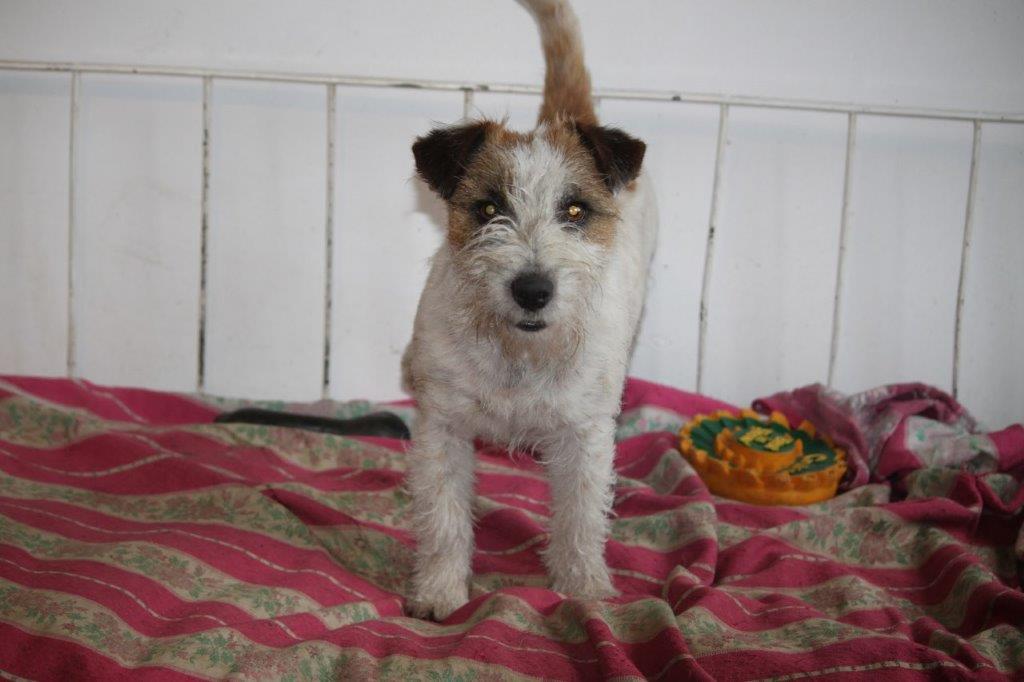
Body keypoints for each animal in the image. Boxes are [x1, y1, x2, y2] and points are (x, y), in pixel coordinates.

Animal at [402, 0, 657, 620]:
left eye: (575, 210)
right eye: (489, 207)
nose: (533, 289)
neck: (518, 352)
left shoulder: (584, 437)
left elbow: (580, 520)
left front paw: (584, 589)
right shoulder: (443, 429)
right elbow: (444, 520)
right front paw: (439, 592)